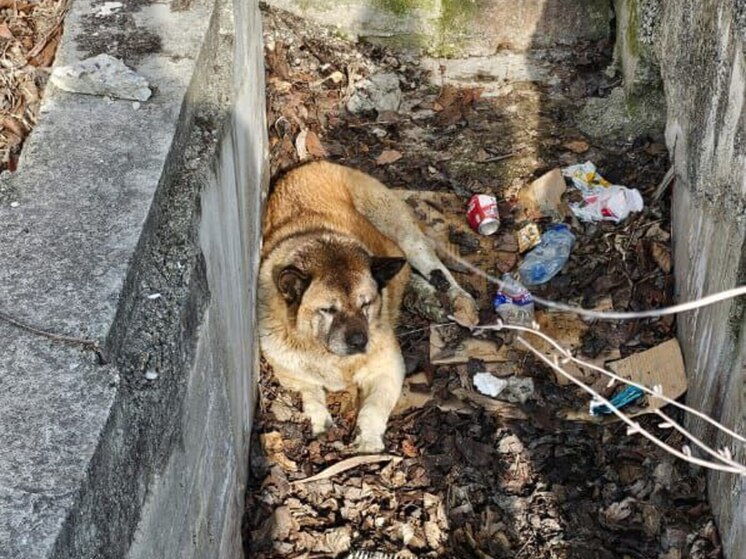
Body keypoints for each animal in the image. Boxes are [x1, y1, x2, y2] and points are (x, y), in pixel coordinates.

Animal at [256, 160, 476, 452]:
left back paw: (458, 302)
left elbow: (374, 406)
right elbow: (310, 392)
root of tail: (312, 164)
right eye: (328, 310)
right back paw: (428, 300)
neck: (332, 358)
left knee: (431, 265)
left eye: (366, 304)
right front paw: (319, 420)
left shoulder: (389, 367)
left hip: (397, 229)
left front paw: (368, 438)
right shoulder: (290, 372)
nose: (360, 341)